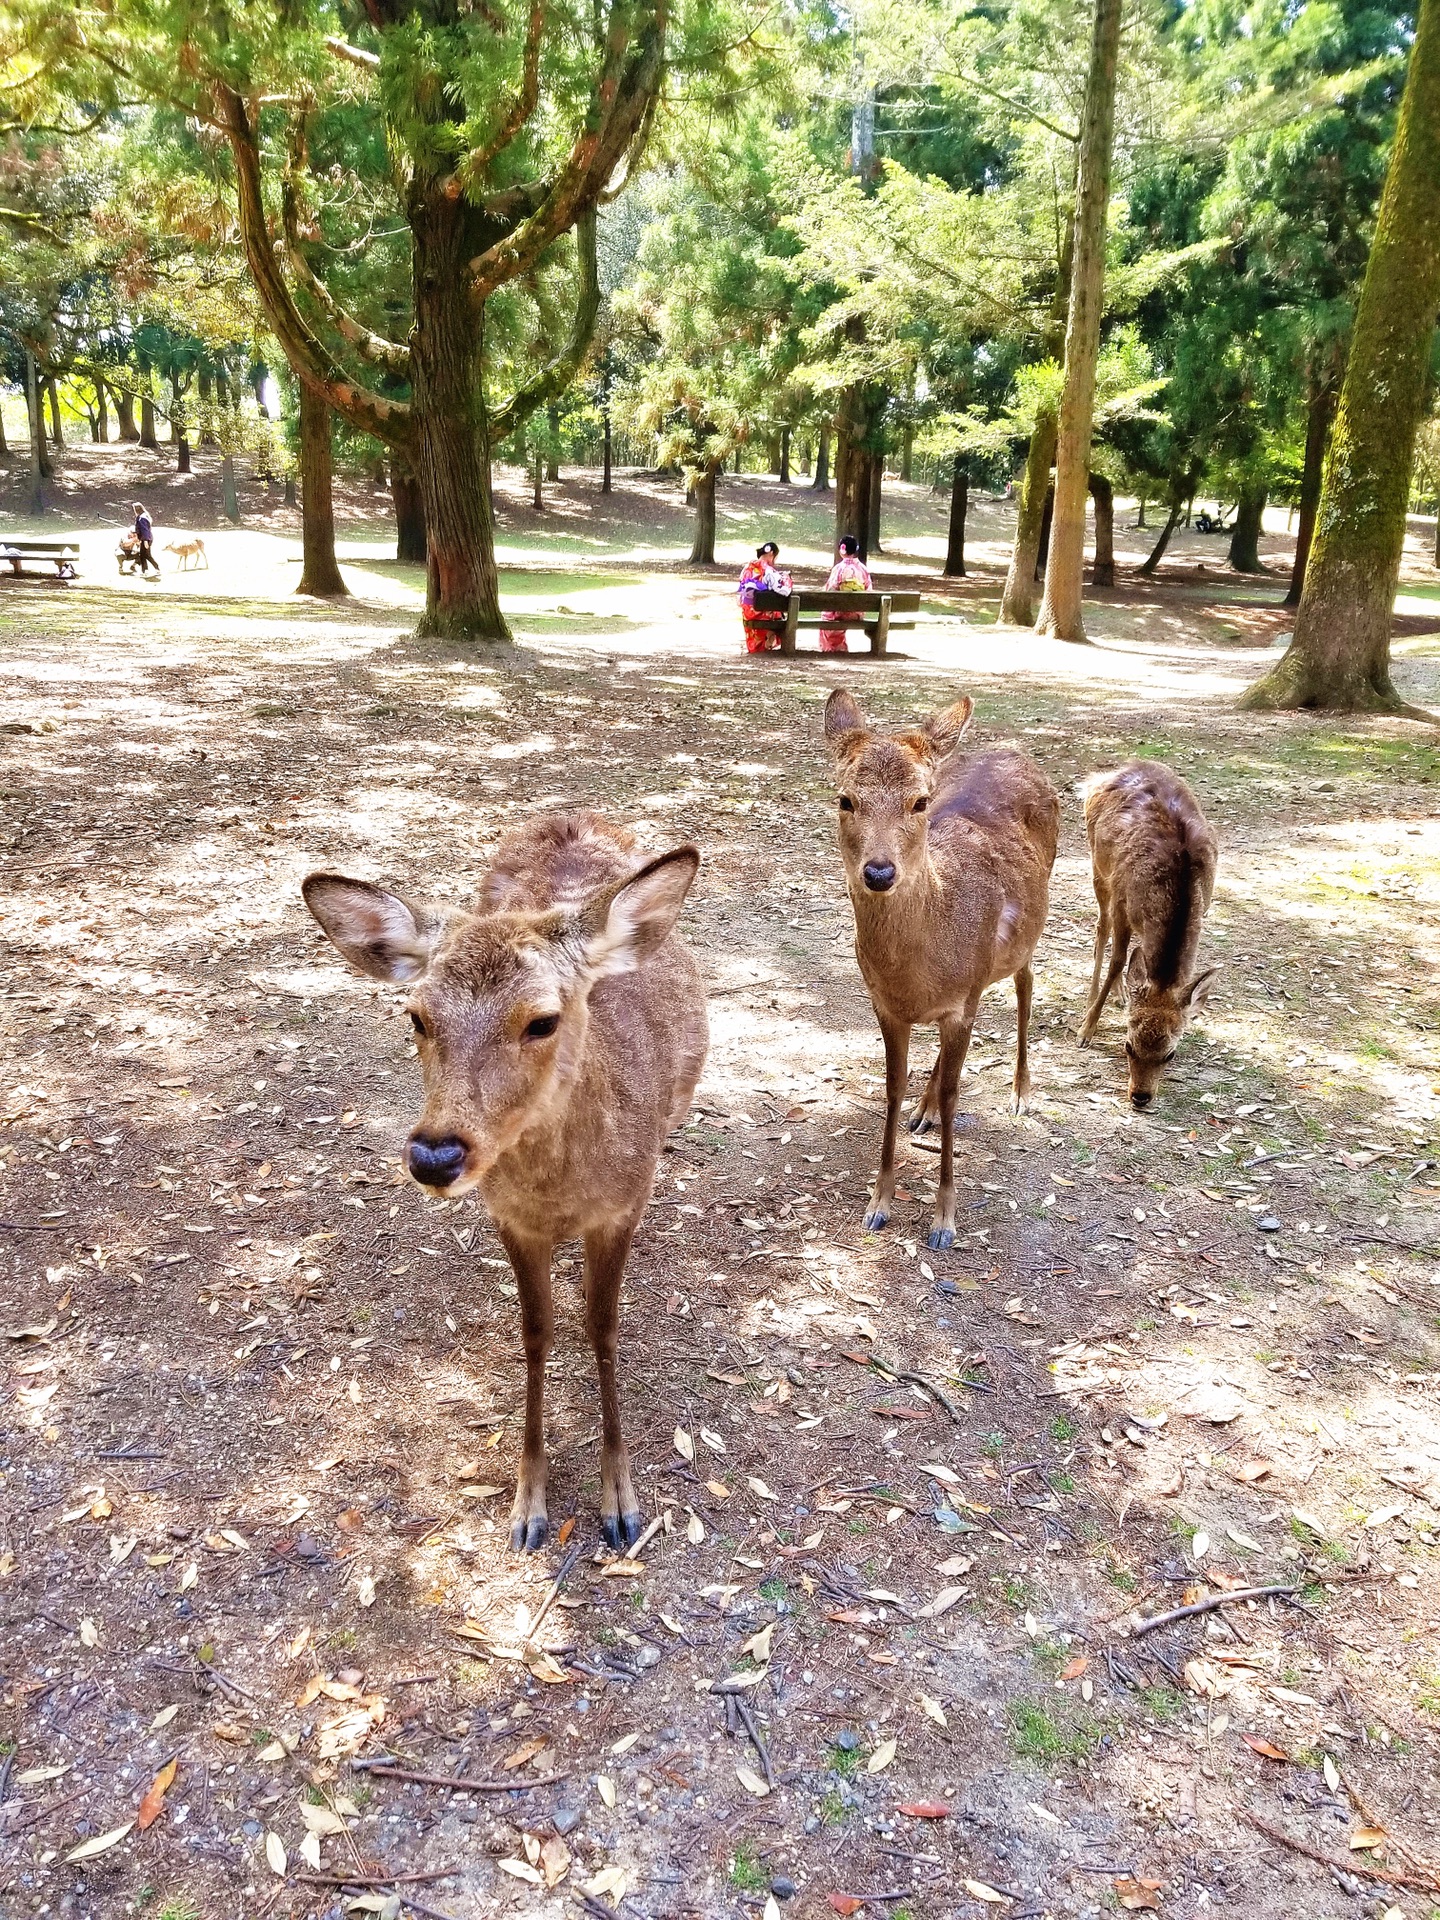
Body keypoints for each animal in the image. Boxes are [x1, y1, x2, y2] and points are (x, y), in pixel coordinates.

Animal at [305, 806, 710, 1543]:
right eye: (416, 1016)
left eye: (543, 1020)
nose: (436, 1156)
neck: (563, 1195)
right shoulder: (510, 1217)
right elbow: (536, 1331)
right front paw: (528, 1505)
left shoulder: (624, 1206)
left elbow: (602, 1327)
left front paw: (620, 1504)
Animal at [821, 683, 1059, 1251]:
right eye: (845, 799)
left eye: (920, 801)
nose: (879, 871)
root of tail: (1018, 751)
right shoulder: (887, 1006)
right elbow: (891, 1089)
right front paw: (878, 1204)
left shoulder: (960, 1005)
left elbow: (955, 1098)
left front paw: (944, 1220)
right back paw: (923, 1110)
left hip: (1026, 936)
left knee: (1026, 981)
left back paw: (1020, 1093)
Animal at [1082, 756, 1221, 1105]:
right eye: (1128, 1045)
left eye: (1170, 1055)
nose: (1141, 1097)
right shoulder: (1122, 900)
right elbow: (1118, 959)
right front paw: (1086, 1029)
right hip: (1097, 866)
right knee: (1100, 927)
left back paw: (1121, 995)